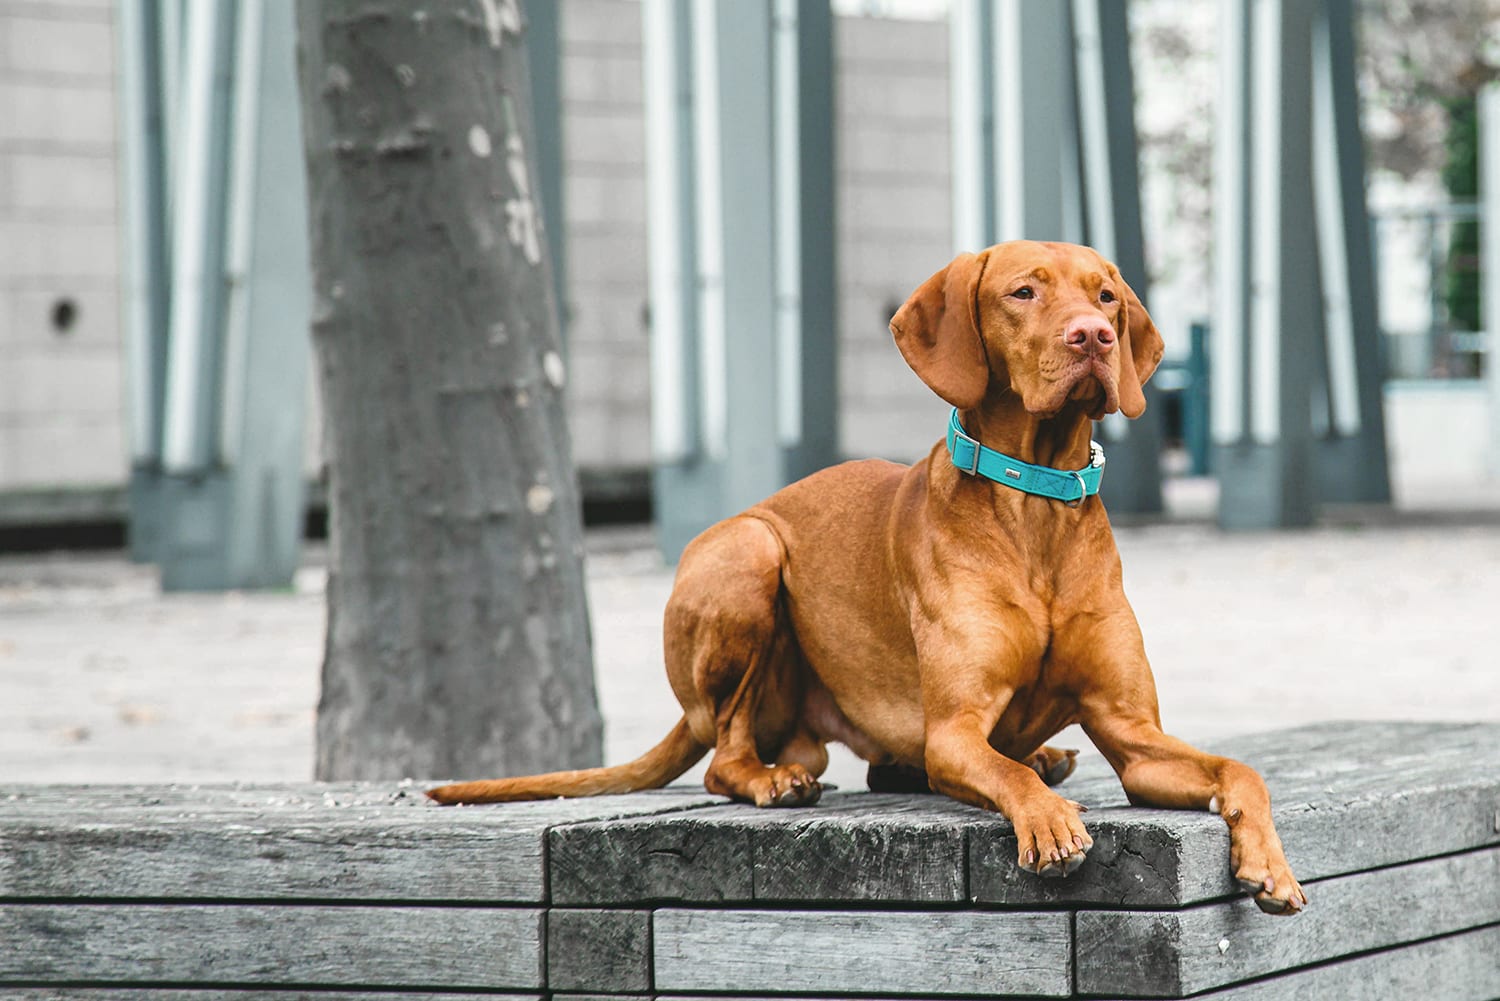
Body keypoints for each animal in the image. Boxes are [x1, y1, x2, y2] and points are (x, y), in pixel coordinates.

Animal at [429, 240, 1308, 918]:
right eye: (1023, 291)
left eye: (1106, 296)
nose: (1093, 335)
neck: (1036, 507)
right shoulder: (953, 730)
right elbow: (1003, 770)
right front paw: (1049, 820)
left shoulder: (1131, 732)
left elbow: (1241, 769)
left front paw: (1269, 862)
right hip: (749, 555)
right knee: (727, 753)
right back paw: (774, 780)